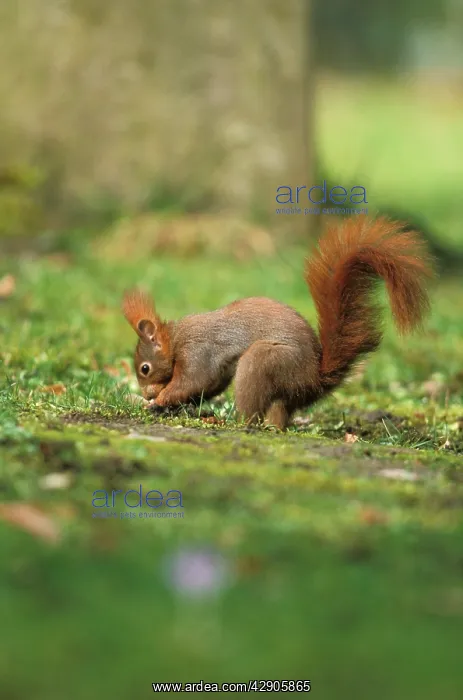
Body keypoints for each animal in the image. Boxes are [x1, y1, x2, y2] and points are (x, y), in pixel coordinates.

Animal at [122, 216, 433, 430]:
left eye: (145, 368)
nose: (146, 392)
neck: (175, 340)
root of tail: (315, 379)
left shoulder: (198, 351)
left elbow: (193, 381)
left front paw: (160, 400)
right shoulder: (216, 370)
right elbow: (207, 387)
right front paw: (158, 404)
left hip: (266, 361)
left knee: (253, 415)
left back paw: (229, 423)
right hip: (283, 390)